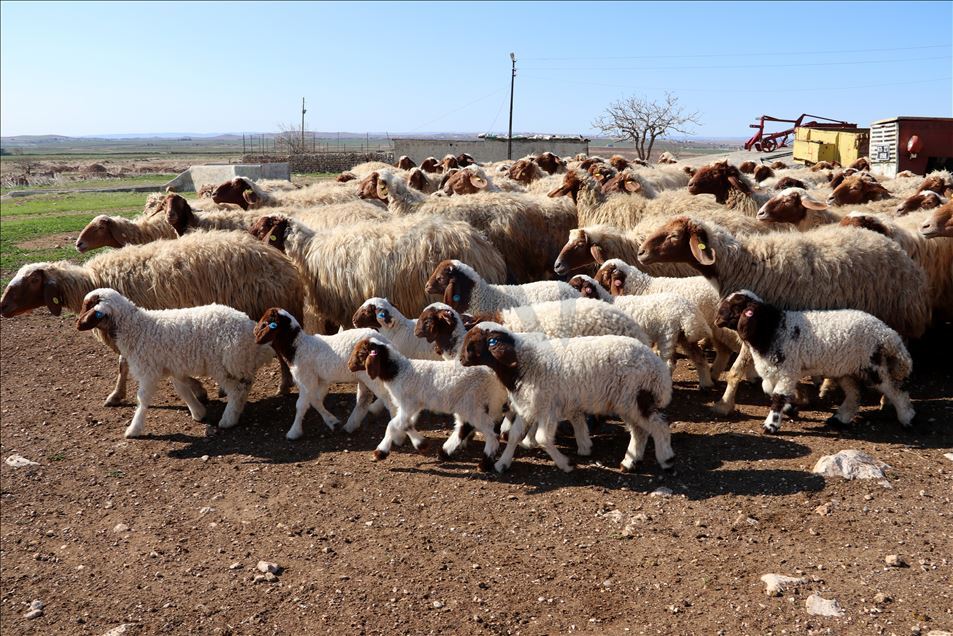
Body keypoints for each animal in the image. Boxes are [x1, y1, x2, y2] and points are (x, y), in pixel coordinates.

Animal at [0, 231, 304, 404]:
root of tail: (284, 265)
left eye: (29, 282)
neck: (90, 283)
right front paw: (117, 394)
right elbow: (124, 366)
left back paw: (283, 386)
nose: (2, 308)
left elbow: (126, 365)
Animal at [76, 290, 274, 440]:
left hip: (223, 365)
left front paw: (134, 429)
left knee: (237, 390)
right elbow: (182, 389)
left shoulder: (148, 372)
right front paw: (198, 412)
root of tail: (249, 329)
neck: (136, 328)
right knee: (244, 387)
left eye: (87, 306)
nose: (77, 324)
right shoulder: (174, 366)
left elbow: (143, 399)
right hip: (233, 363)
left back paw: (228, 419)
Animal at [636, 216, 924, 414]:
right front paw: (797, 396)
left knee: (897, 366)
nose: (640, 252)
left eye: (674, 236)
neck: (740, 264)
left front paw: (724, 404)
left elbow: (736, 371)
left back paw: (886, 400)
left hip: (897, 318)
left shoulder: (754, 325)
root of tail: (901, 254)